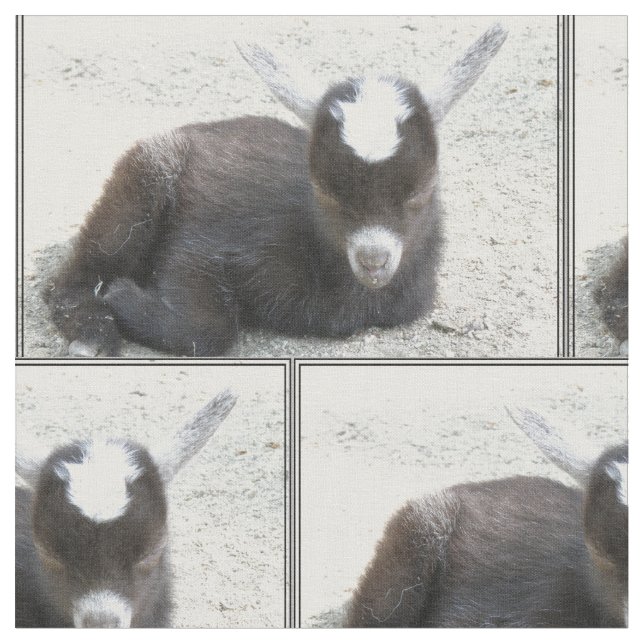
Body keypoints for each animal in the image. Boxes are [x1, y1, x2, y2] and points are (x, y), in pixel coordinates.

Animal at [46, 24, 507, 356]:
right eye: (326, 192)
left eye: (419, 192)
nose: (373, 262)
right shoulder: (202, 244)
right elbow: (210, 329)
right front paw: (121, 294)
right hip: (146, 176)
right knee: (71, 275)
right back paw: (93, 331)